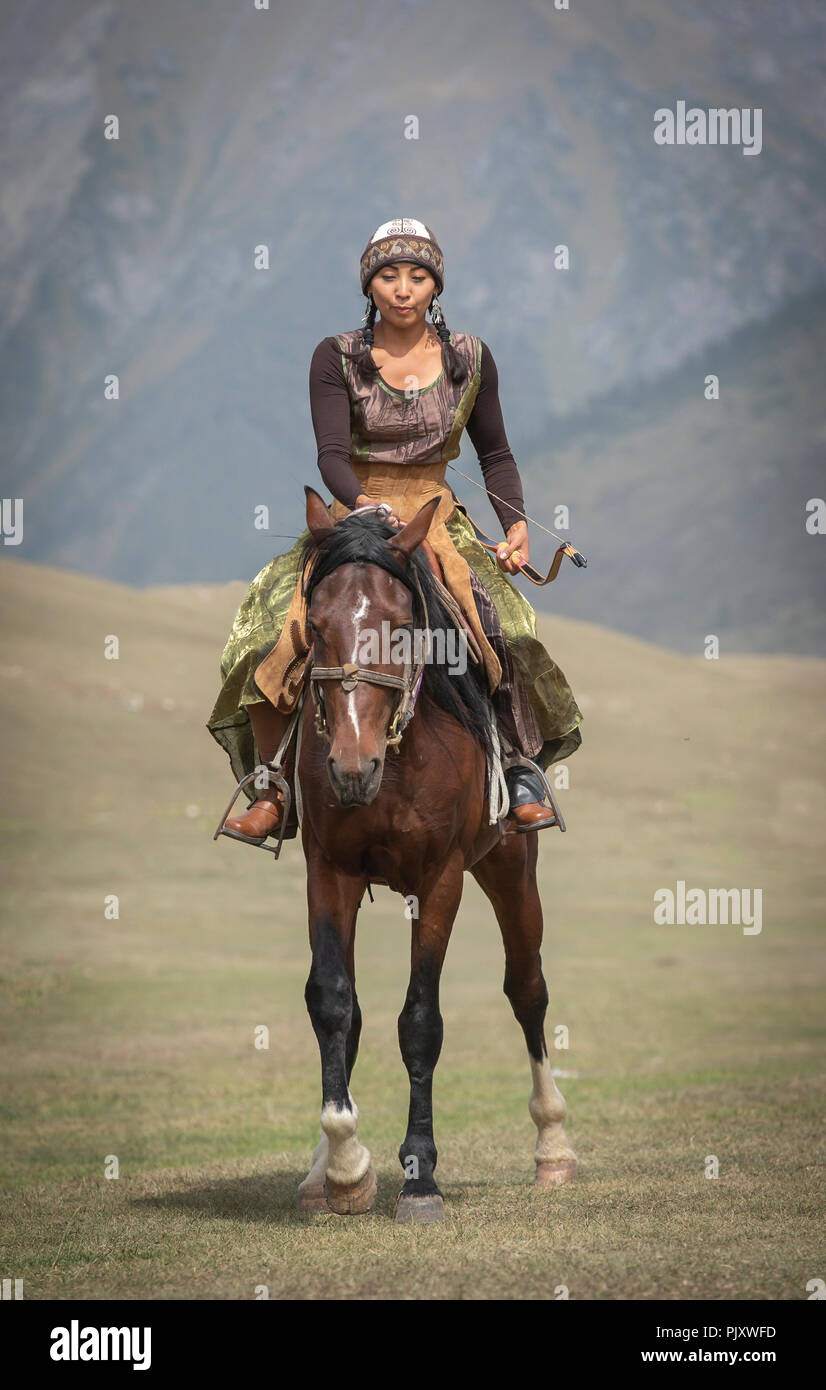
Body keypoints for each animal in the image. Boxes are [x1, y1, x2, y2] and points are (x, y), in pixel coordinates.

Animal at [290, 489, 572, 1228]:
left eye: (398, 626)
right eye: (316, 627)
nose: (350, 768)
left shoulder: (440, 877)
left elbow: (420, 1022)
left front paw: (419, 1179)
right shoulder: (328, 868)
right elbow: (333, 1003)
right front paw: (345, 1168)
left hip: (510, 868)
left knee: (528, 989)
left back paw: (554, 1148)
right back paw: (319, 1172)